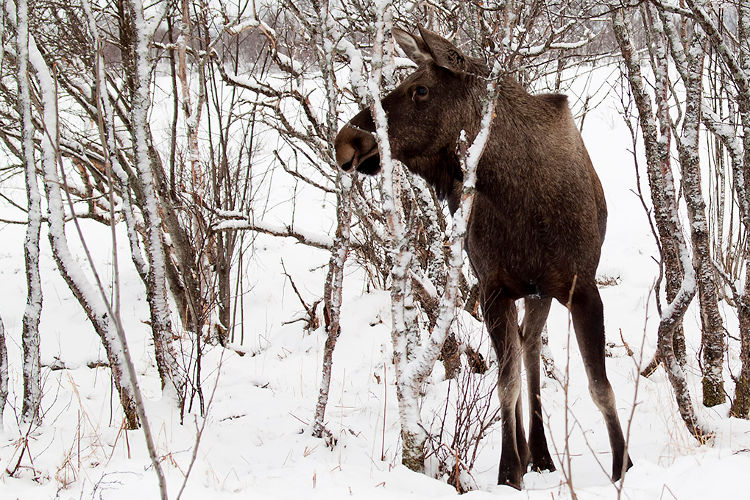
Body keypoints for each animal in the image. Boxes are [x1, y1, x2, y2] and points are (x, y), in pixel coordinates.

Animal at [334, 26, 636, 488]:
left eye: (420, 89)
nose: (347, 140)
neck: (519, 196)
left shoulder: (581, 287)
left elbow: (598, 385)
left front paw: (623, 467)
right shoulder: (493, 289)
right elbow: (504, 385)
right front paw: (509, 470)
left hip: (540, 292)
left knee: (530, 349)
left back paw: (541, 452)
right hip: (517, 291)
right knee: (520, 354)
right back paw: (533, 453)